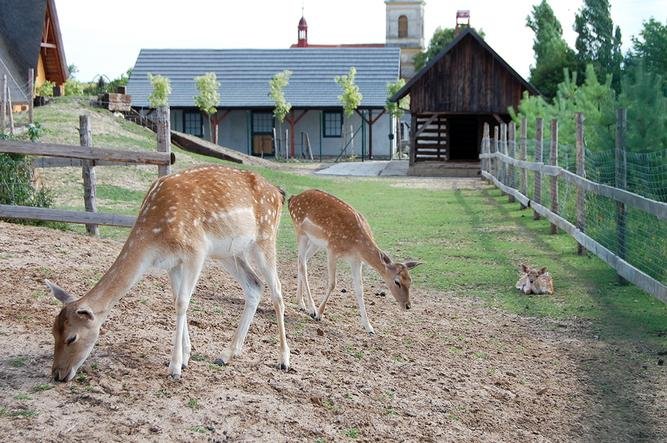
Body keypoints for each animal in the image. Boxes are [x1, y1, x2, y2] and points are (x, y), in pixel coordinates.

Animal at [44, 166, 290, 382]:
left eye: (72, 337)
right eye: (53, 332)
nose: (57, 374)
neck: (155, 235)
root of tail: (278, 193)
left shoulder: (196, 252)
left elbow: (182, 302)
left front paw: (174, 368)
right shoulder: (173, 263)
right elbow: (176, 300)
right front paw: (186, 358)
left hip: (265, 238)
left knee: (277, 290)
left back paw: (283, 360)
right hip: (228, 252)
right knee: (254, 285)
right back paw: (226, 355)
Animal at [288, 189, 422, 334]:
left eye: (410, 281)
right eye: (397, 282)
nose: (407, 306)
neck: (356, 245)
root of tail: (292, 198)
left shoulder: (356, 261)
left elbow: (359, 289)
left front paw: (369, 327)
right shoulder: (332, 250)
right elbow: (332, 284)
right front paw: (319, 314)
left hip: (315, 242)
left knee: (301, 261)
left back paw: (300, 303)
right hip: (300, 232)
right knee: (303, 265)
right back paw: (311, 308)